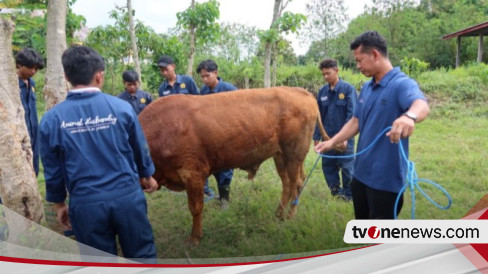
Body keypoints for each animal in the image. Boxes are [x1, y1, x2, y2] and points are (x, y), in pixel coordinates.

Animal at [138, 85, 328, 244]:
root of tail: (300, 91)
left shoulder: (192, 174)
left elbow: (195, 208)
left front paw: (195, 237)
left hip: (294, 155)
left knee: (296, 184)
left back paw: (289, 217)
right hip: (281, 157)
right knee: (288, 184)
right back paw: (278, 214)